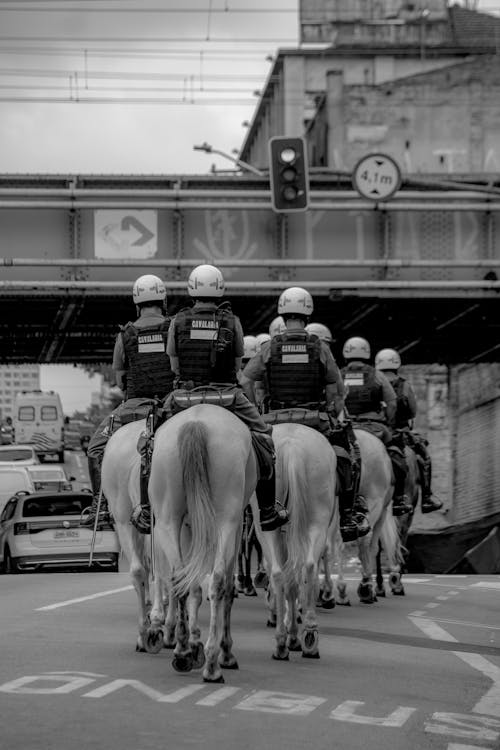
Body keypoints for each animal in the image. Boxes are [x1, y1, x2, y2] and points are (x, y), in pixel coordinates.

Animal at [147, 408, 258, 684]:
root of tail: (196, 422)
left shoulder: (188, 526)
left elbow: (192, 585)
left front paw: (191, 644)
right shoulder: (236, 527)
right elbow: (226, 587)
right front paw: (224, 651)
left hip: (167, 520)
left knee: (179, 580)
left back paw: (183, 652)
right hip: (226, 520)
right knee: (218, 582)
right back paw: (212, 665)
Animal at [254, 426, 340, 660]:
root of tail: (292, 447)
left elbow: (289, 583)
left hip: (269, 530)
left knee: (279, 574)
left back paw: (282, 642)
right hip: (316, 522)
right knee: (306, 568)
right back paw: (309, 635)